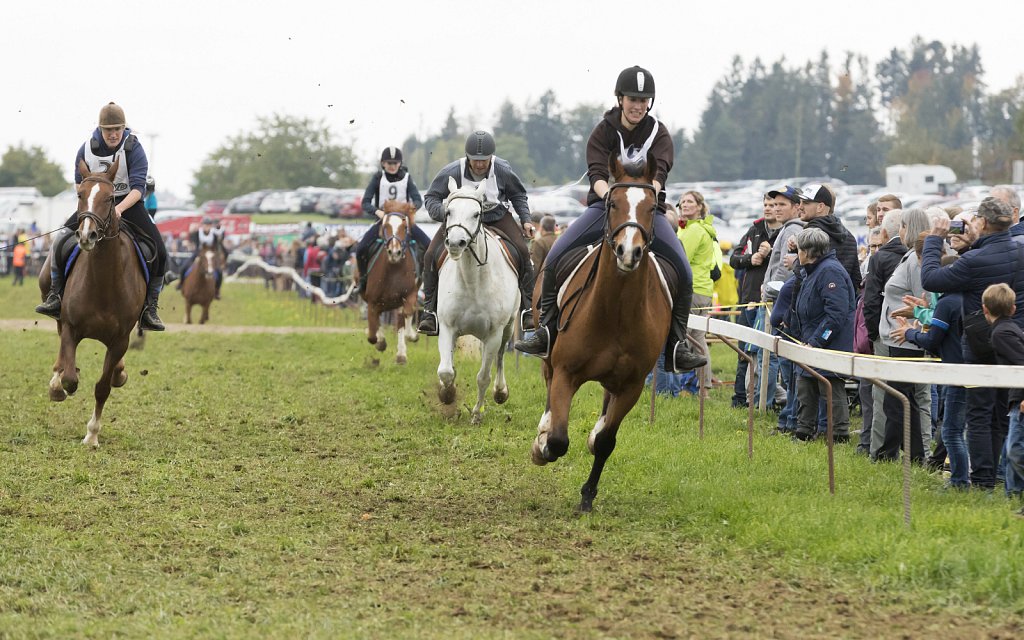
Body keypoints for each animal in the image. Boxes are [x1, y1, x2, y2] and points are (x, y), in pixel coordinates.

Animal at [38, 158, 148, 444]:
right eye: (79, 194)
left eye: (110, 198)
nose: (87, 236)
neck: (103, 283)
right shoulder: (70, 328)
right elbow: (69, 377)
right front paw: (60, 385)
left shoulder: (119, 340)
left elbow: (102, 387)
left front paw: (92, 435)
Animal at [364, 199, 419, 362]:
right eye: (385, 226)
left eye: (405, 227)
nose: (395, 252)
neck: (394, 268)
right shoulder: (372, 300)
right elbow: (372, 334)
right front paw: (380, 341)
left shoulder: (410, 293)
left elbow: (407, 312)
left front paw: (411, 335)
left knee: (400, 319)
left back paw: (401, 354)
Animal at [438, 177, 524, 421]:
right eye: (448, 211)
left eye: (476, 214)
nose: (455, 243)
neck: (472, 281)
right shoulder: (447, 327)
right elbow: (446, 371)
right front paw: (447, 394)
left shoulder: (494, 334)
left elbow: (483, 377)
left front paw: (477, 413)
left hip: (507, 328)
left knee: (501, 356)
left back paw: (500, 392)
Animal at [528, 152, 671, 512]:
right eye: (613, 203)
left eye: (652, 206)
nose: (629, 252)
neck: (616, 311)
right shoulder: (566, 373)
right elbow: (559, 439)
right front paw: (543, 445)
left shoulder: (632, 385)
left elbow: (606, 441)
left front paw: (587, 495)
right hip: (548, 355)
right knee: (548, 385)